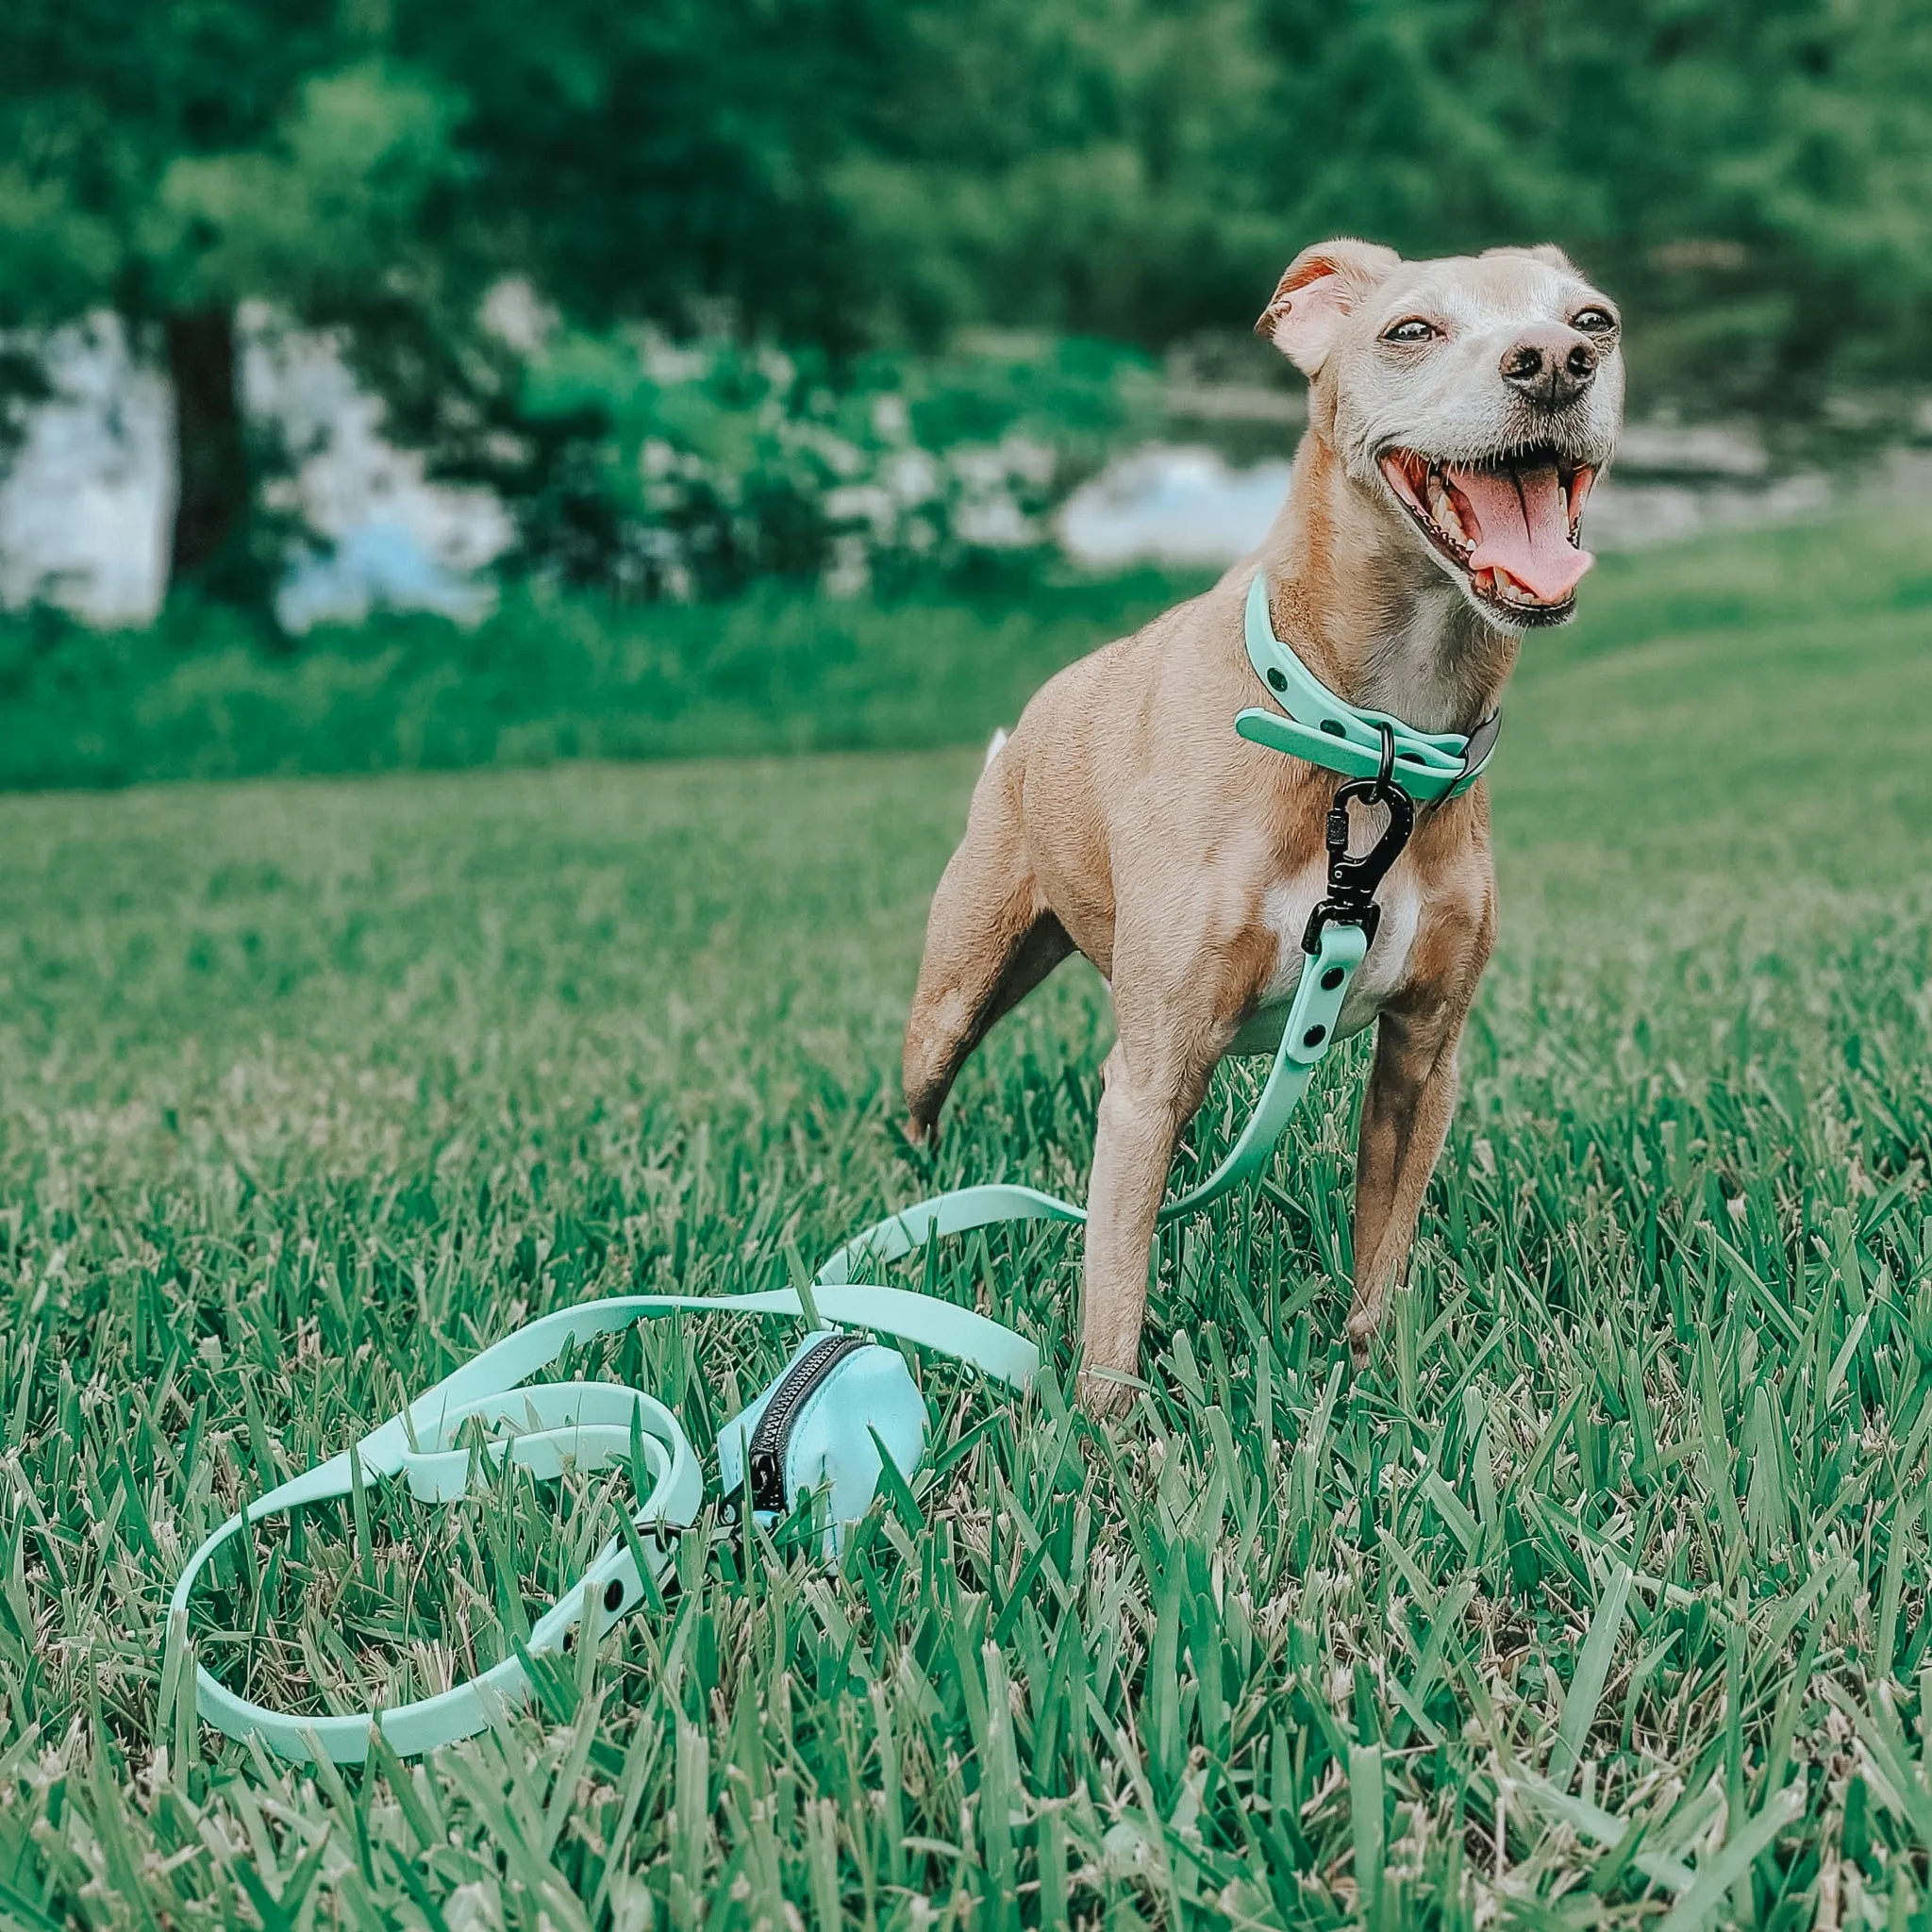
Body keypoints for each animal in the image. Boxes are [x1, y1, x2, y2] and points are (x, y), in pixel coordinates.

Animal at [900, 237, 1615, 1406]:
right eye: (1408, 329)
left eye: (1591, 318)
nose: (1555, 361)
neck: (1370, 740)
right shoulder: (1149, 1070)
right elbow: (1112, 1291)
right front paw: (1101, 1431)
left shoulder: (1423, 1058)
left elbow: (1380, 1254)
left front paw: (1370, 1385)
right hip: (957, 990)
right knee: (929, 1092)